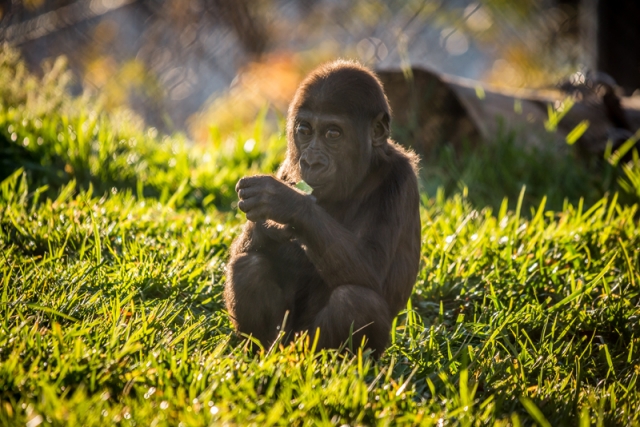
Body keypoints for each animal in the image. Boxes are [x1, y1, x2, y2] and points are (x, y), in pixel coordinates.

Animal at [222, 59, 422, 354]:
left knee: (355, 301)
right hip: (286, 338)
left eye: (333, 133)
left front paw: (288, 203)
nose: (312, 161)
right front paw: (269, 226)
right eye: (304, 131)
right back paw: (263, 352)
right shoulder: (288, 166)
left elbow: (372, 265)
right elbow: (244, 250)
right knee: (249, 266)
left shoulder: (400, 179)